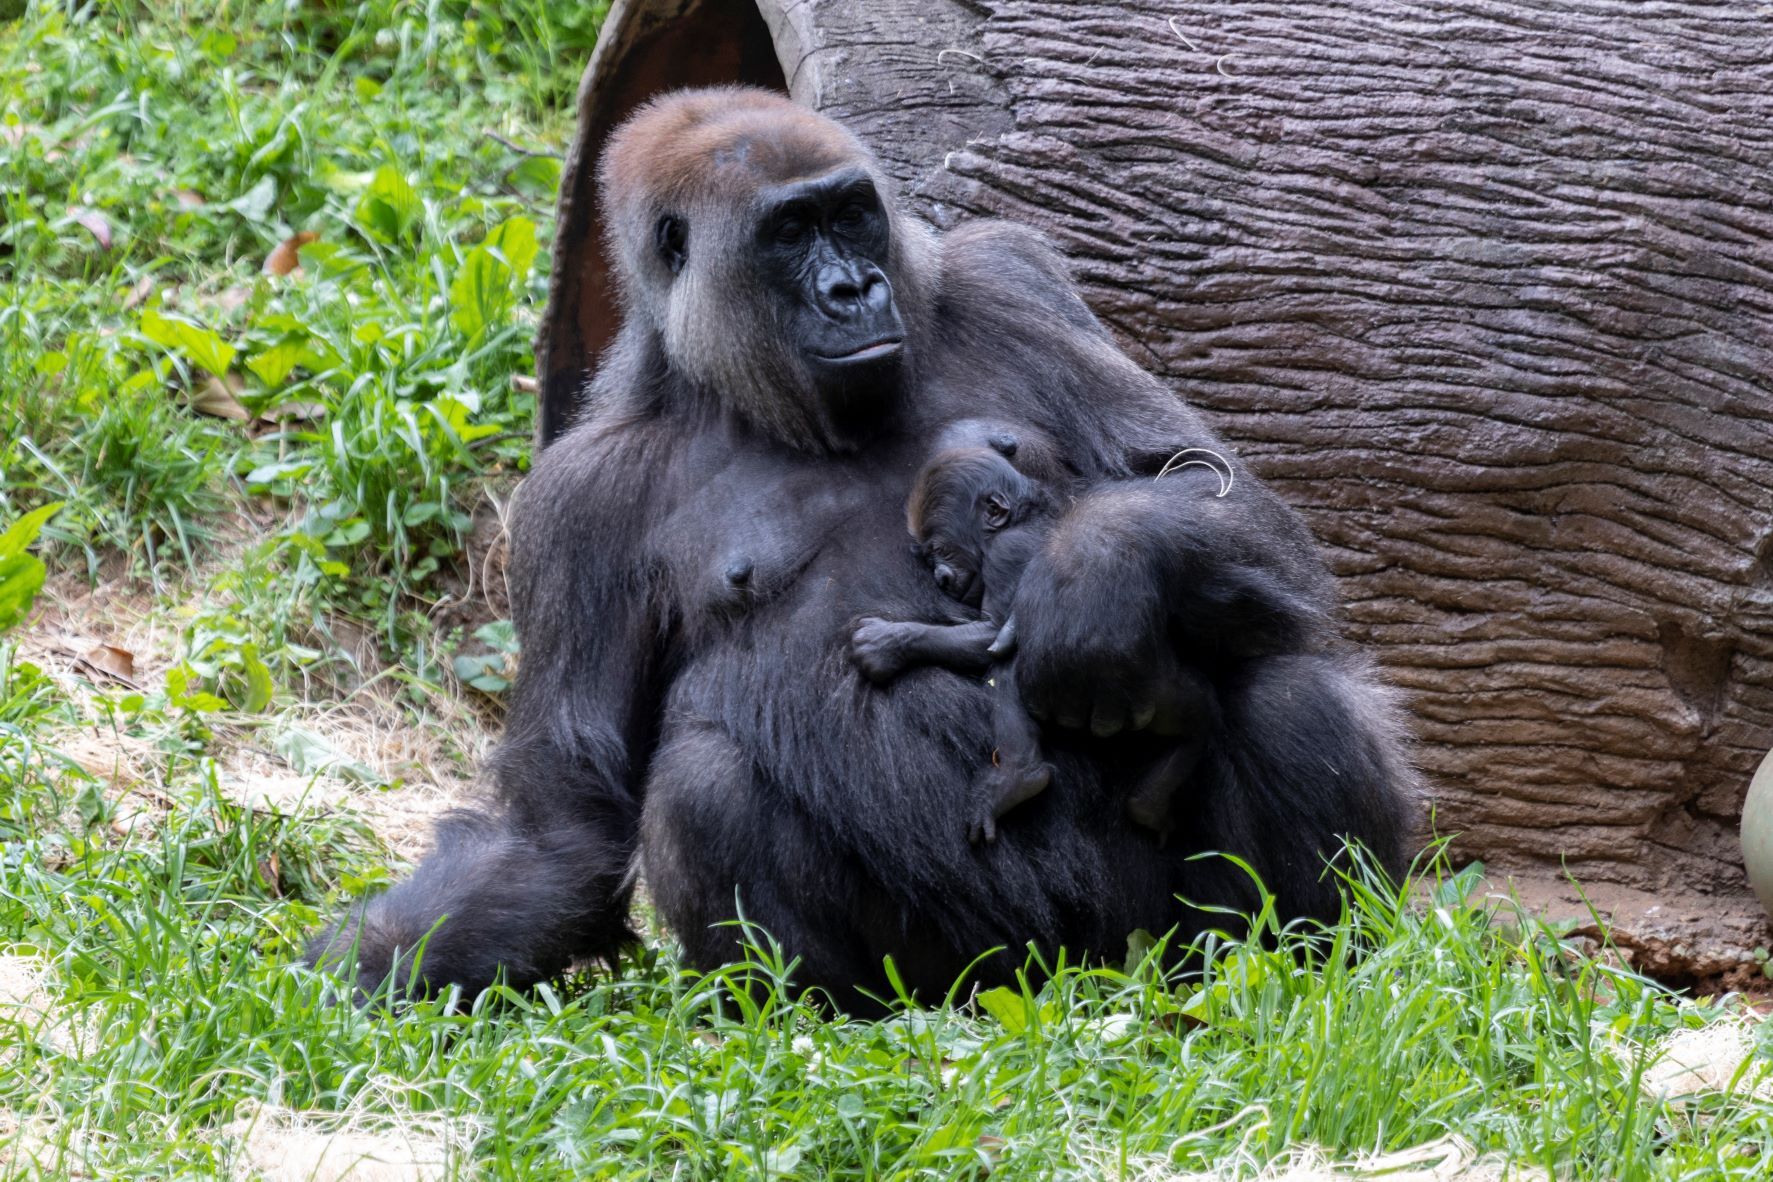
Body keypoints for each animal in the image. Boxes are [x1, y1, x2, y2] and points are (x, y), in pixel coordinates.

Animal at [843, 439, 1205, 847]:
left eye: (941, 550)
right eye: (928, 556)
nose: (940, 578)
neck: (1021, 516)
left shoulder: (1006, 552)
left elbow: (996, 631)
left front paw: (887, 643)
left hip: (1127, 693)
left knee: (1008, 669)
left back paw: (1019, 778)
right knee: (1193, 723)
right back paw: (1154, 797)